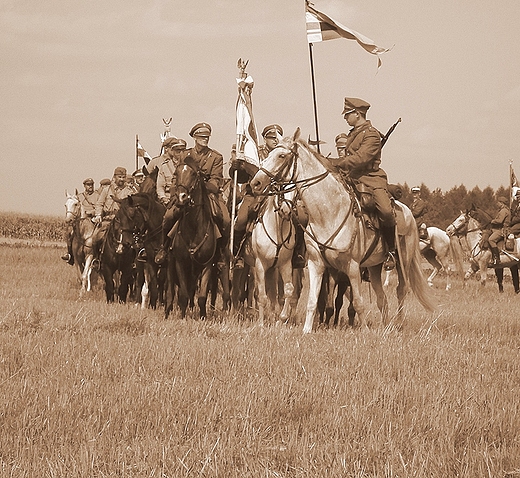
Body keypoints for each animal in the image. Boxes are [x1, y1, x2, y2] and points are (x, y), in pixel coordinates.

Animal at [250, 129, 436, 334]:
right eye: (267, 155)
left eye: (281, 156)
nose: (256, 183)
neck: (328, 213)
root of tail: (407, 212)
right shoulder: (316, 264)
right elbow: (312, 300)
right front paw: (306, 330)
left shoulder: (352, 267)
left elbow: (358, 303)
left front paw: (364, 331)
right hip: (374, 267)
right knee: (382, 298)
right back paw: (386, 326)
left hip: (403, 262)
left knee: (401, 290)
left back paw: (399, 324)